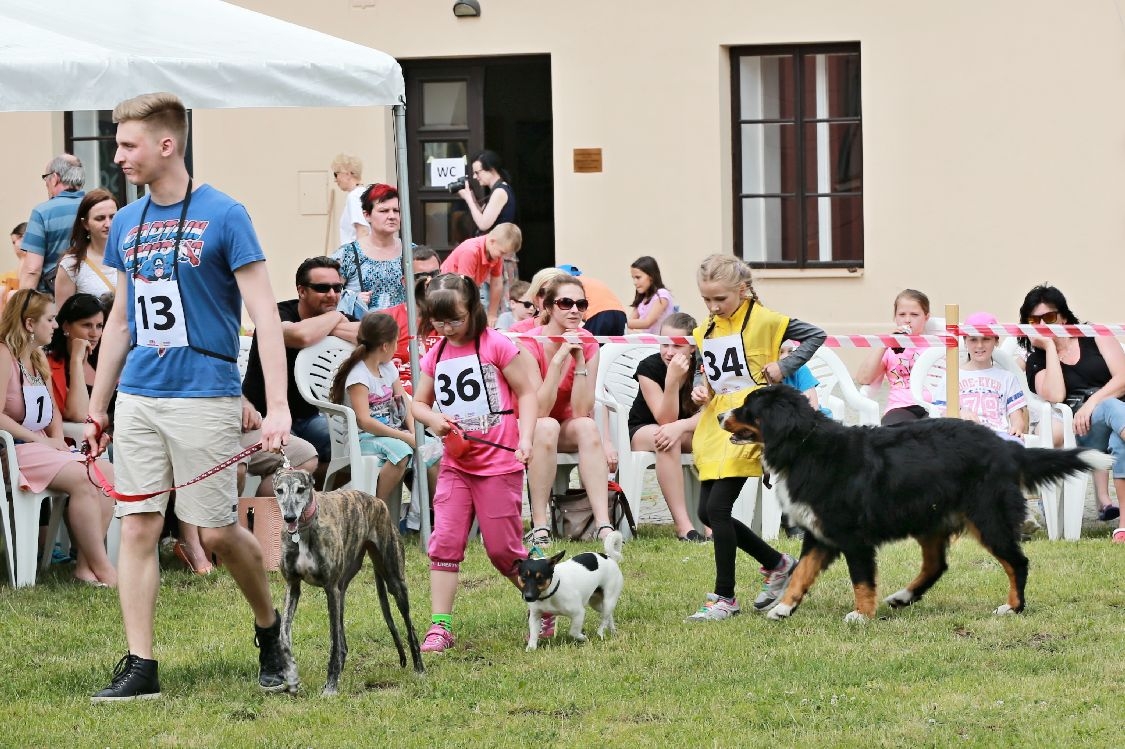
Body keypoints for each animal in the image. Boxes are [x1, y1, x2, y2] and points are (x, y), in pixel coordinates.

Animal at [720, 382, 1107, 620]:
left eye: (747, 408)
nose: (721, 415)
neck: (804, 447)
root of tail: (1005, 446)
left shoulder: (852, 536)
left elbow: (861, 579)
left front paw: (862, 614)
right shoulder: (819, 533)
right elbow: (801, 574)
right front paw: (783, 609)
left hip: (987, 517)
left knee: (1017, 562)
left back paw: (1013, 607)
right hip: (931, 518)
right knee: (936, 566)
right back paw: (903, 596)